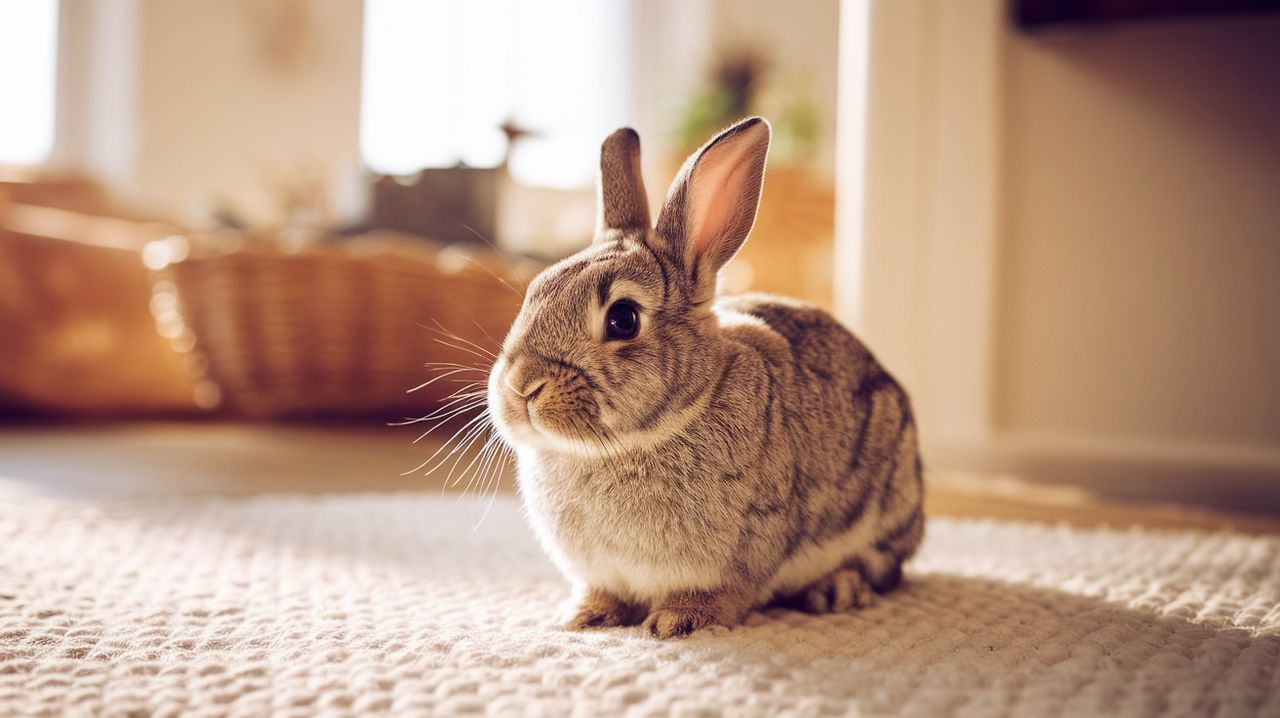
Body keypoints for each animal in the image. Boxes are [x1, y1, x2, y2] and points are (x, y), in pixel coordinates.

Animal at [486, 117, 924, 639]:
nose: (521, 386)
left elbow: (721, 593)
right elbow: (605, 592)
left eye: (623, 319)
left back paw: (836, 590)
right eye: (534, 291)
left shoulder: (744, 550)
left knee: (883, 568)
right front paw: (583, 616)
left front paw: (677, 622)